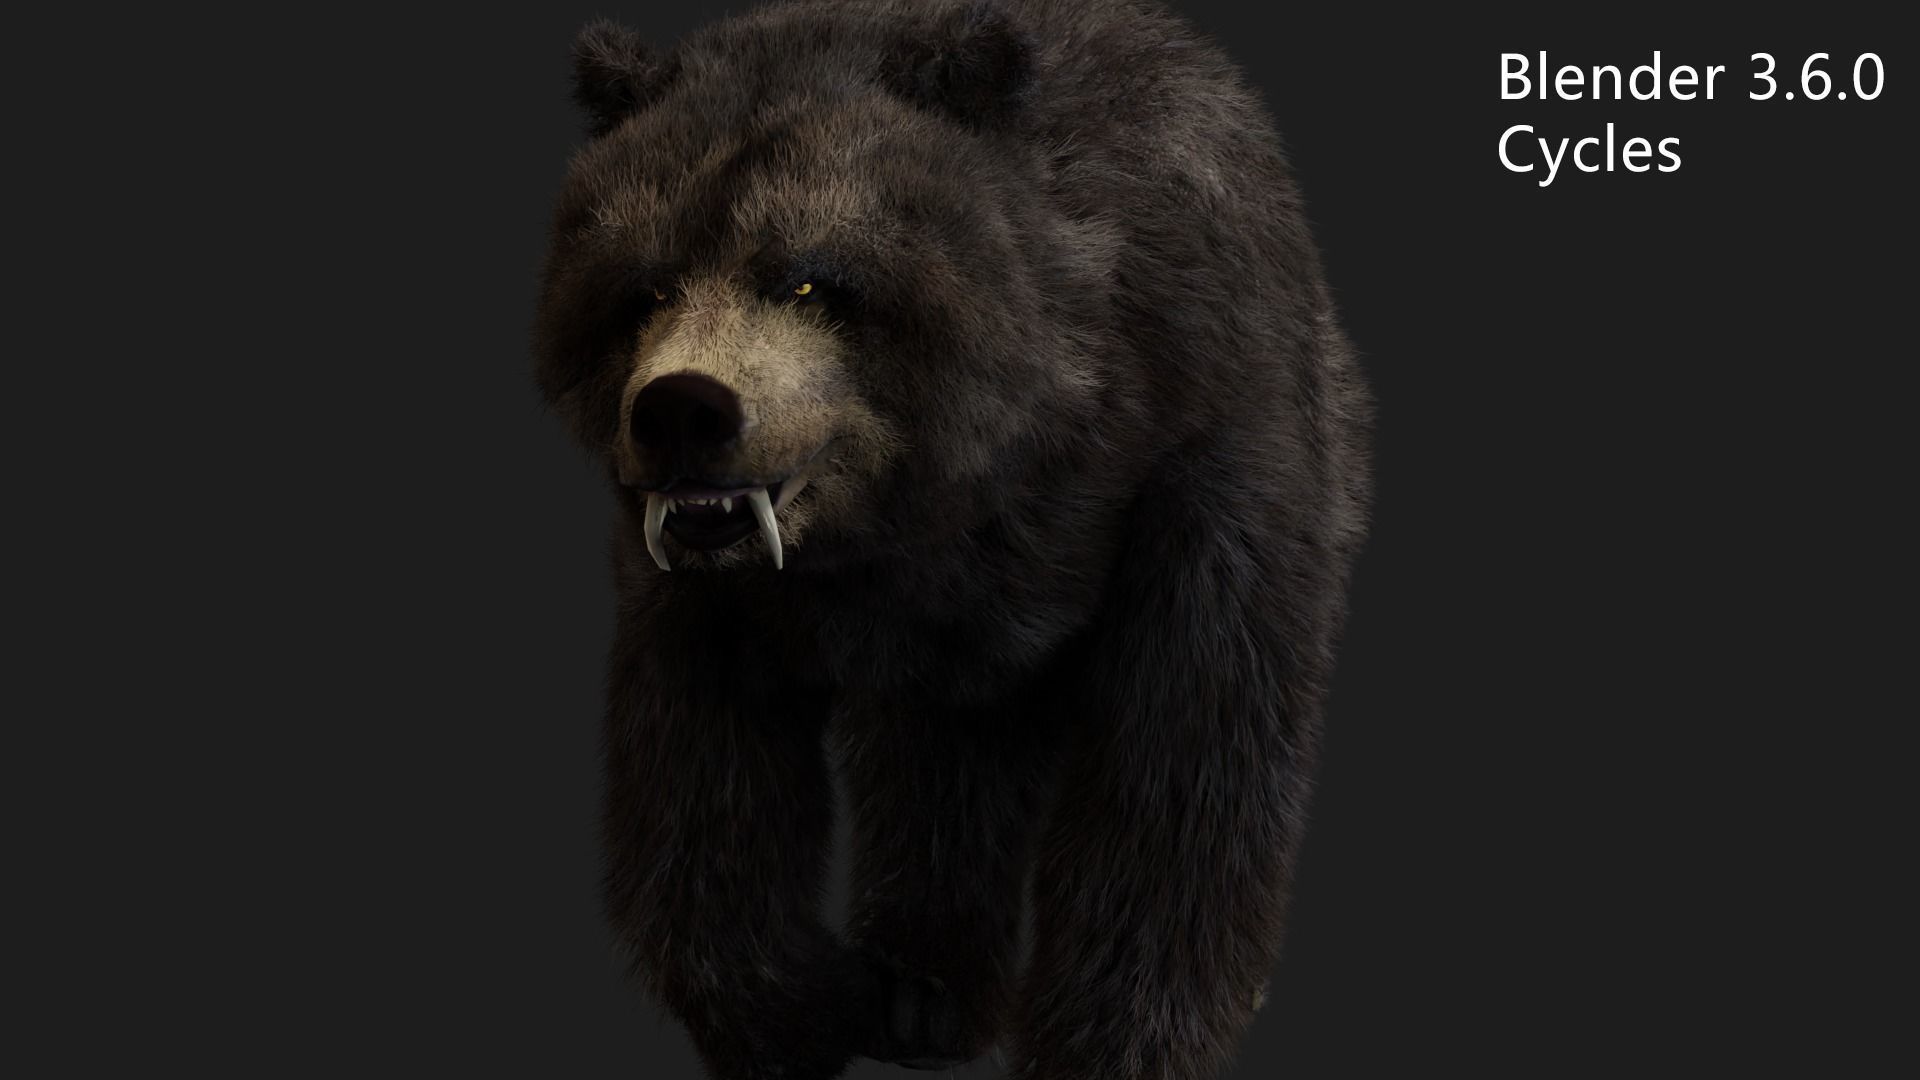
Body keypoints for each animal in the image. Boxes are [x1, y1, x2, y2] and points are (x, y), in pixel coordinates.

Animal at [531, 1, 1371, 1077]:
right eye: (646, 286)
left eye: (810, 282)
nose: (683, 408)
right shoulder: (697, 595)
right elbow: (702, 788)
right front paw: (812, 1005)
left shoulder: (1201, 481)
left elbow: (1179, 774)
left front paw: (1109, 1039)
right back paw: (919, 994)